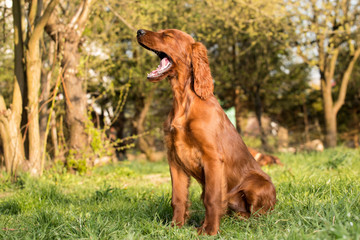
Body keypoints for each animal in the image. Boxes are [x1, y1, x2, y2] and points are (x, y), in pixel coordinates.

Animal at [136, 29, 278, 235]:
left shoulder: (212, 158)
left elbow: (211, 198)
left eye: (168, 35)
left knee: (260, 214)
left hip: (258, 184)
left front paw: (210, 230)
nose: (139, 31)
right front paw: (176, 226)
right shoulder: (174, 159)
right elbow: (178, 198)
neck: (183, 100)